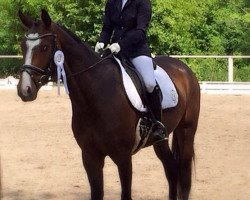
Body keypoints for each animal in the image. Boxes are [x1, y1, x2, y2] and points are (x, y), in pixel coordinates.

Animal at [16, 9, 200, 200]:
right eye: (23, 47)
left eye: (44, 47)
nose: (25, 90)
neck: (94, 96)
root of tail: (184, 68)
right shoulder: (90, 156)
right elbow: (97, 192)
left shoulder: (123, 157)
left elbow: (126, 194)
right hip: (161, 139)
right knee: (171, 170)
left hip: (186, 131)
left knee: (184, 175)